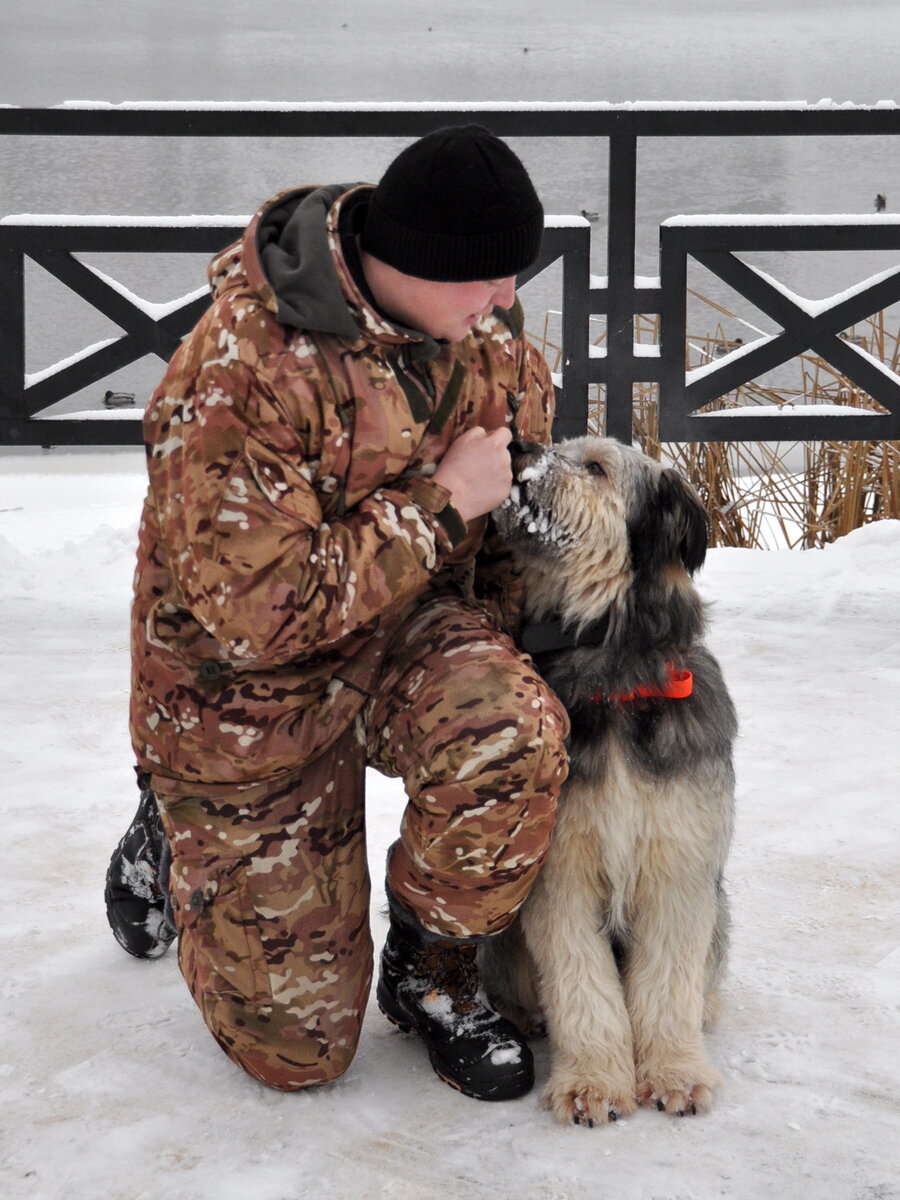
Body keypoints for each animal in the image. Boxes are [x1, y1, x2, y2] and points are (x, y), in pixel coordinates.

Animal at [482, 439, 734, 1123]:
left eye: (595, 467)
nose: (516, 445)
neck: (612, 673)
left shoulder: (679, 866)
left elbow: (669, 981)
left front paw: (675, 1071)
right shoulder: (560, 870)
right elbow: (581, 985)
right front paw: (592, 1082)